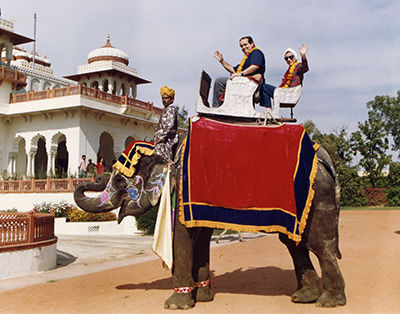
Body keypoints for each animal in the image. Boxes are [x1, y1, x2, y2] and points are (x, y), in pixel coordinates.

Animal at [75, 132, 346, 310]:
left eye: (120, 181)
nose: (95, 176)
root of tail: (325, 159)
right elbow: (200, 240)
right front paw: (203, 298)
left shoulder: (181, 190)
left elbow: (181, 239)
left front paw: (175, 305)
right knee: (294, 244)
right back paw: (303, 297)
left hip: (316, 196)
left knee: (319, 244)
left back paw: (329, 302)